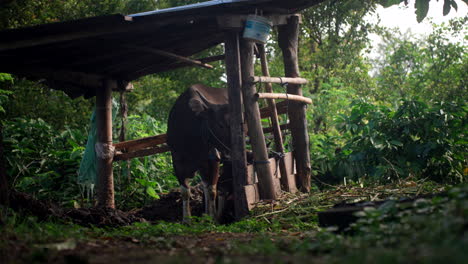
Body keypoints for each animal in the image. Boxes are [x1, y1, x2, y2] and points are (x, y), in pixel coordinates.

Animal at [168, 84, 232, 223]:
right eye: (220, 125)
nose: (230, 152)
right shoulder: (176, 160)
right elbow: (185, 191)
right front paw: (186, 220)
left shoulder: (213, 160)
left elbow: (212, 190)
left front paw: (213, 218)